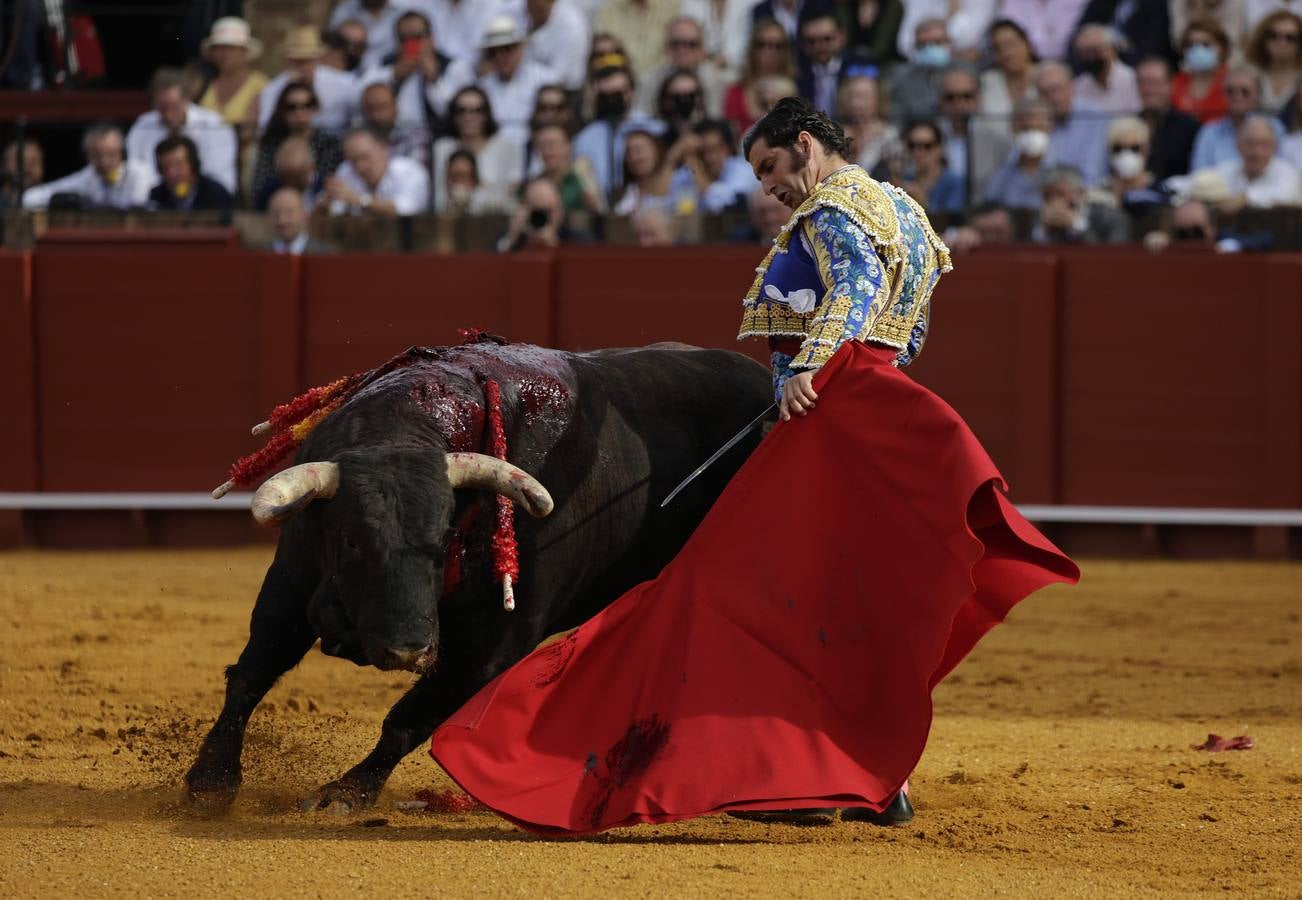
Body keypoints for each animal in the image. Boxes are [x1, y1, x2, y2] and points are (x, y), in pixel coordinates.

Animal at [184, 341, 770, 812]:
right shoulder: (291, 578)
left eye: (446, 536)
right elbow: (253, 672)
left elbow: (408, 718)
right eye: (350, 540)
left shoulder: (494, 643)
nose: (407, 650)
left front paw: (345, 793)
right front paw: (211, 780)